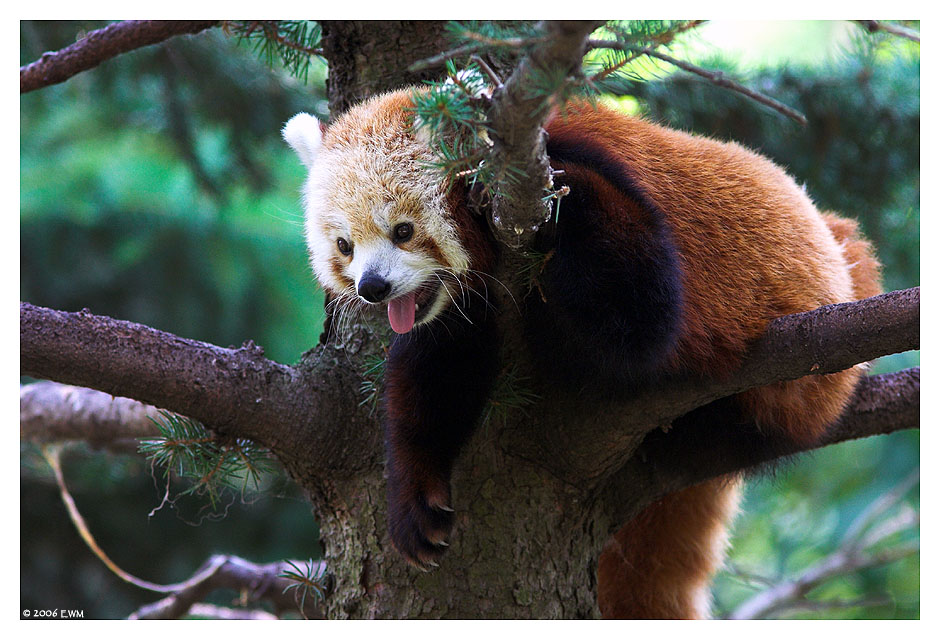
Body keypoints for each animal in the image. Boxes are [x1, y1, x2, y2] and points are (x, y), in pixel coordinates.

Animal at [280, 87, 880, 616]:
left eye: (403, 231)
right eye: (344, 245)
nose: (372, 287)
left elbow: (643, 318)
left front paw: (552, 193)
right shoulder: (460, 308)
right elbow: (436, 379)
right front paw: (414, 496)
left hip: (796, 379)